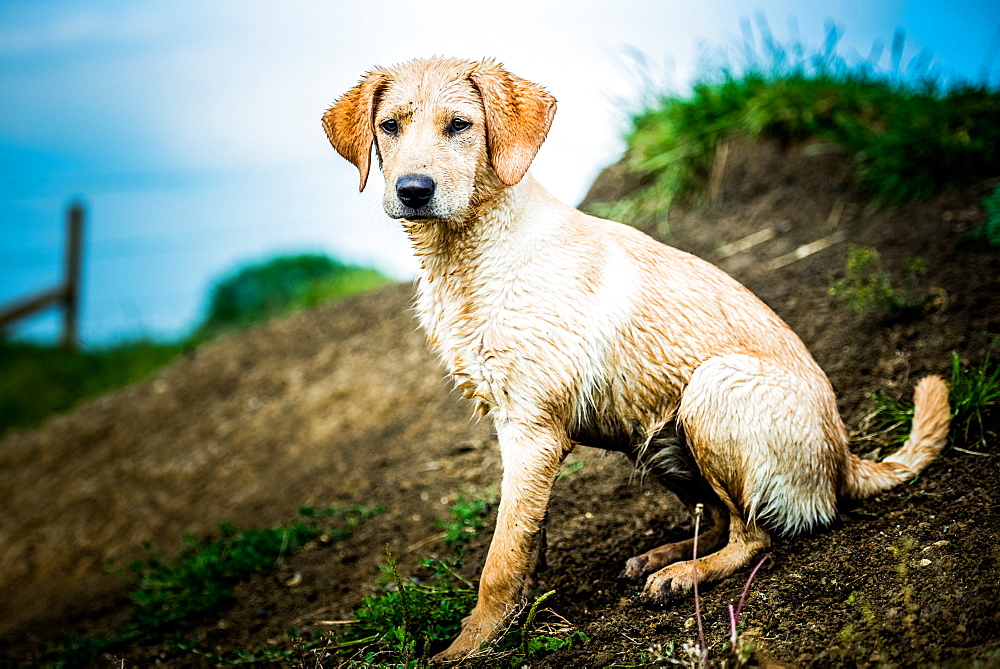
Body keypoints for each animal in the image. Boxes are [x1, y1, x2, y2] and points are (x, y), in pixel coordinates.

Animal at [324, 56, 948, 656]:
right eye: (389, 126)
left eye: (460, 125)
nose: (414, 189)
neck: (467, 256)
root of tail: (846, 459)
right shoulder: (515, 426)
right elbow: (524, 536)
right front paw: (517, 615)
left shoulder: (532, 429)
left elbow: (500, 558)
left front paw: (467, 645)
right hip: (653, 437)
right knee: (717, 517)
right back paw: (665, 554)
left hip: (712, 390)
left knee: (754, 536)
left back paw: (686, 573)